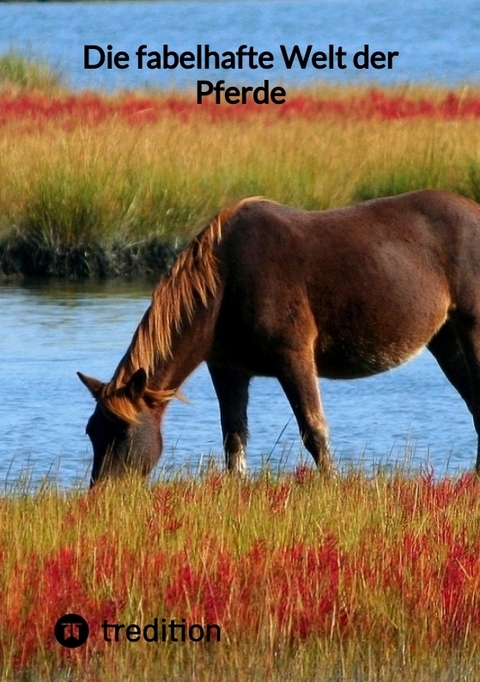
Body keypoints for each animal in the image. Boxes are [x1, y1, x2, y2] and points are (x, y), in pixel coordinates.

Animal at [78, 187, 480, 484]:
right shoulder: (227, 369)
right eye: (92, 432)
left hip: (472, 329)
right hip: (446, 339)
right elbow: (233, 437)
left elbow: (313, 430)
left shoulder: (294, 358)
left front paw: (330, 486)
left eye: (124, 433)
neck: (225, 284)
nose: (103, 495)